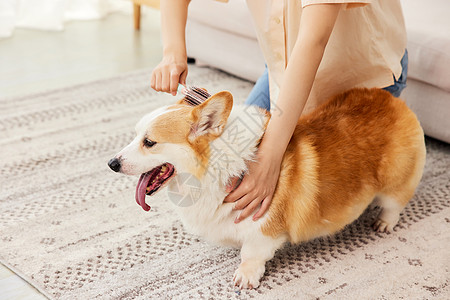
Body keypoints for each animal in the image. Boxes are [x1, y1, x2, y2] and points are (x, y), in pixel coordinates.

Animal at [108, 88, 426, 290]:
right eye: (135, 135)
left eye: (149, 142)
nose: (111, 163)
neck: (216, 167)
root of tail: (393, 101)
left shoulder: (264, 228)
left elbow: (252, 252)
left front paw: (245, 277)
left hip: (395, 182)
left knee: (395, 203)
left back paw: (384, 222)